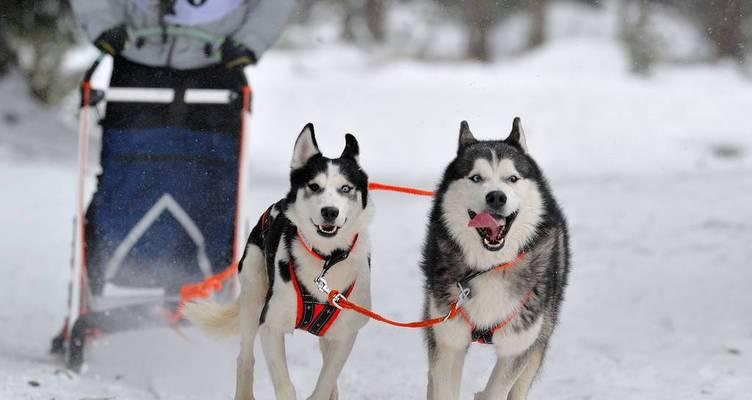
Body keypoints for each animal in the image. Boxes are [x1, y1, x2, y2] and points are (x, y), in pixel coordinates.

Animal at [185, 122, 374, 400]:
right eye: (314, 186)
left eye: (346, 188)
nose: (330, 212)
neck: (325, 260)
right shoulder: (270, 326)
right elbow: (285, 385)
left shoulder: (344, 335)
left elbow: (325, 383)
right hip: (253, 296)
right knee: (245, 357)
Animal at [424, 117, 568, 398]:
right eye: (476, 178)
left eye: (512, 178)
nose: (496, 196)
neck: (491, 267)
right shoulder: (448, 341)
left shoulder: (518, 347)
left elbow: (495, 391)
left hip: (540, 333)